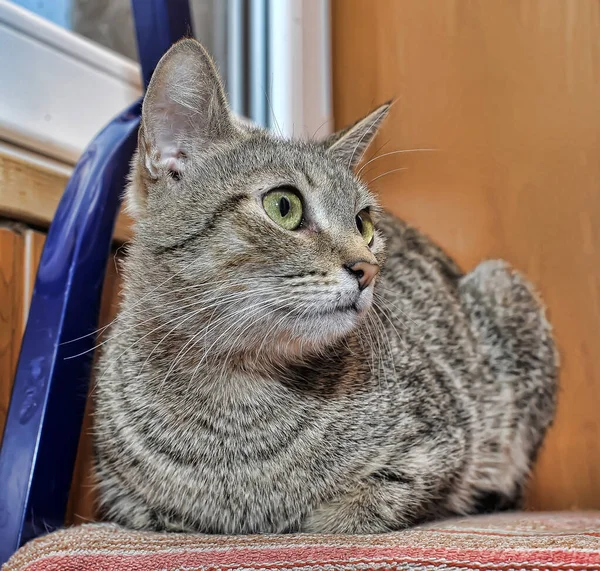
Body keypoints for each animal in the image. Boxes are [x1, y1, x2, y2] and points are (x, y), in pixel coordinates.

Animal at [94, 40, 556, 536]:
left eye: (364, 223)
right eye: (284, 206)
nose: (368, 268)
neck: (235, 397)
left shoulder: (441, 445)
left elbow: (348, 512)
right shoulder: (124, 501)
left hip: (504, 288)